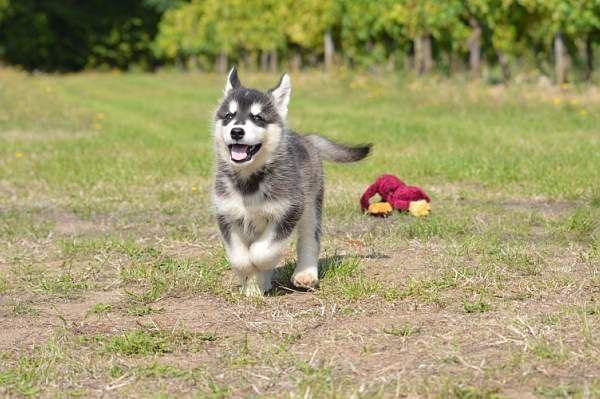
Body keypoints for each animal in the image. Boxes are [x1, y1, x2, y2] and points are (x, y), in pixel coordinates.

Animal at [211, 67, 370, 296]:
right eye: (229, 116)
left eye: (258, 117)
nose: (237, 131)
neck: (250, 181)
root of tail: (305, 138)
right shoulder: (226, 214)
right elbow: (239, 256)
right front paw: (252, 285)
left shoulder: (289, 210)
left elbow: (262, 251)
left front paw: (260, 266)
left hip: (311, 207)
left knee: (310, 239)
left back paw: (305, 274)